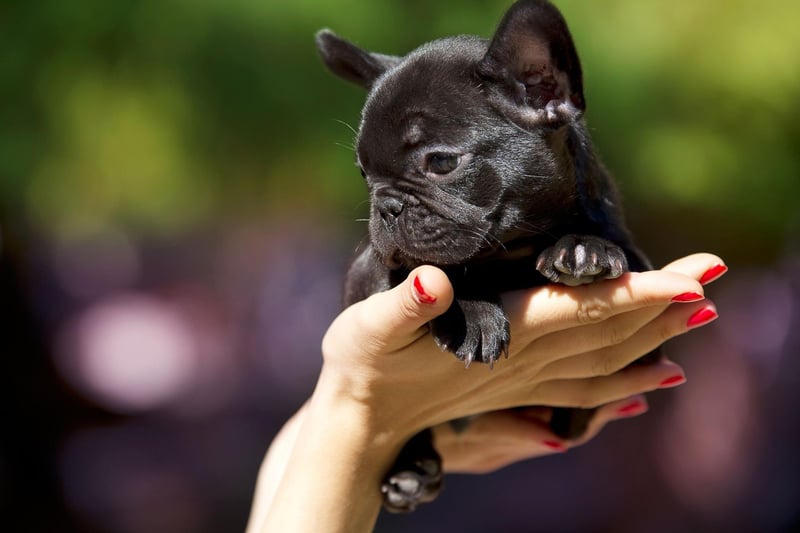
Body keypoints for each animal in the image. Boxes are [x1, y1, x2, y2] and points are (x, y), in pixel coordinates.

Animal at [316, 1, 652, 516]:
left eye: (440, 162)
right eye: (363, 173)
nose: (385, 205)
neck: (513, 249)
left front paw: (583, 247)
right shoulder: (368, 276)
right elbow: (429, 267)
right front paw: (468, 308)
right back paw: (412, 473)